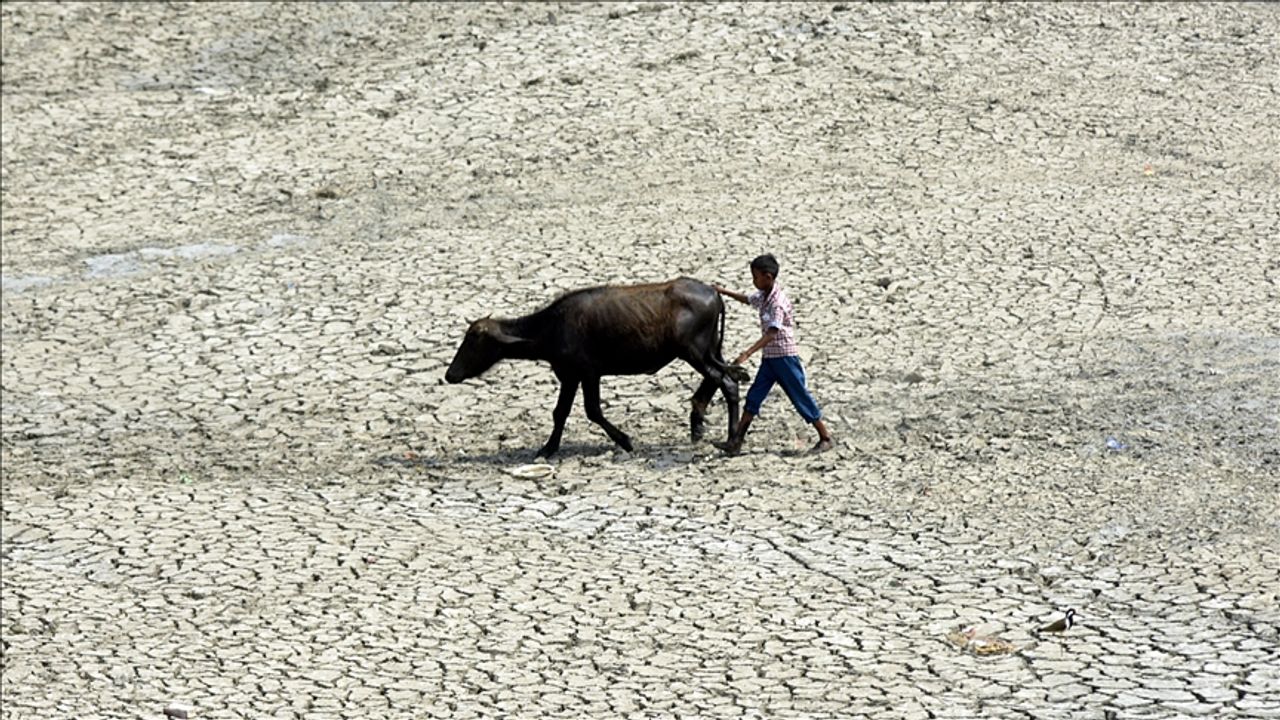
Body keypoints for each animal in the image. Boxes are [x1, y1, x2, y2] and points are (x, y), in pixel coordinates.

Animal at [445, 278, 742, 456]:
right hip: (709, 351)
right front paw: (549, 447)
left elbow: (592, 411)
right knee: (725, 376)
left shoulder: (586, 373)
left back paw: (730, 439)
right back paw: (698, 424)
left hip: (695, 353)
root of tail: (713, 293)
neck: (552, 327)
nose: (450, 374)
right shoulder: (570, 376)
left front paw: (625, 441)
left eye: (474, 341)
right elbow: (560, 412)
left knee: (727, 382)